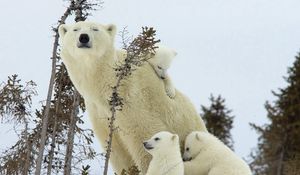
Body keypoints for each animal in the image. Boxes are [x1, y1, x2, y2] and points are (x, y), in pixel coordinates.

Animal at [58, 20, 206, 174]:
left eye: (95, 29)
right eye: (75, 29)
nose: (84, 37)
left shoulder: (133, 100)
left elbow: (145, 138)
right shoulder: (99, 112)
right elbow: (117, 151)